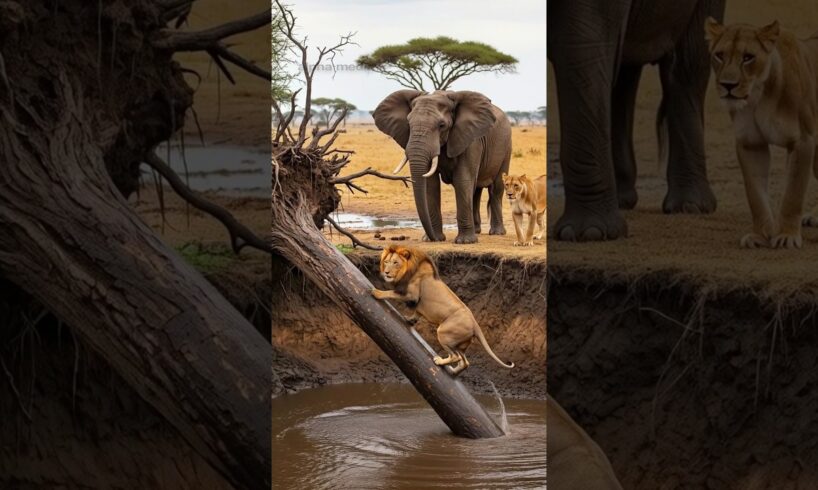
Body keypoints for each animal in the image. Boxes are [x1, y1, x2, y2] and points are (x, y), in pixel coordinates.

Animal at [371, 245, 514, 375]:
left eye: (395, 262)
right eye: (386, 262)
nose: (386, 273)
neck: (408, 269)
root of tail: (475, 324)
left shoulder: (412, 295)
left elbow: (391, 293)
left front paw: (377, 292)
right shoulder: (418, 304)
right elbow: (416, 313)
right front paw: (410, 320)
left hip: (443, 333)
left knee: (455, 357)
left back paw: (440, 361)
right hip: (459, 344)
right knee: (465, 362)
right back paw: (453, 371)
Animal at [373, 90, 512, 244]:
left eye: (441, 125)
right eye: (408, 123)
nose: (432, 237)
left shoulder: (471, 141)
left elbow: (462, 180)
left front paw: (465, 242)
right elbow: (430, 184)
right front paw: (432, 239)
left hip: (506, 147)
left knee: (496, 188)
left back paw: (497, 232)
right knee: (476, 190)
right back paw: (477, 231)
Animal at [548, 0, 726, 241]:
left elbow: (582, 42)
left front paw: (590, 233)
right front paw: (589, 232)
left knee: (687, 68)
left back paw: (690, 207)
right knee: (623, 74)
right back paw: (622, 200)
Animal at [706, 18, 818, 249]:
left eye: (748, 57)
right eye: (719, 55)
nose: (727, 85)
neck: (760, 96)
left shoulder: (803, 141)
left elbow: (793, 193)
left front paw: (786, 236)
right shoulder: (751, 143)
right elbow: (755, 195)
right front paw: (761, 236)